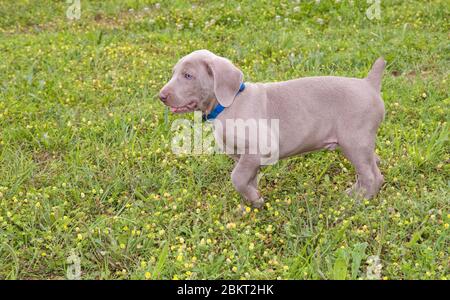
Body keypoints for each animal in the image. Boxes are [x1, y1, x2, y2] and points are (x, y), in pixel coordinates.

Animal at [160, 49, 384, 209]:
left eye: (188, 75)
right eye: (173, 73)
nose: (161, 96)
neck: (228, 104)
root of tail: (369, 84)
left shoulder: (258, 150)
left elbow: (237, 178)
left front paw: (255, 199)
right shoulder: (244, 158)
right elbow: (248, 180)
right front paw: (250, 204)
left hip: (354, 141)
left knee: (371, 176)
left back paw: (358, 202)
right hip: (359, 144)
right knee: (371, 172)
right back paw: (353, 194)